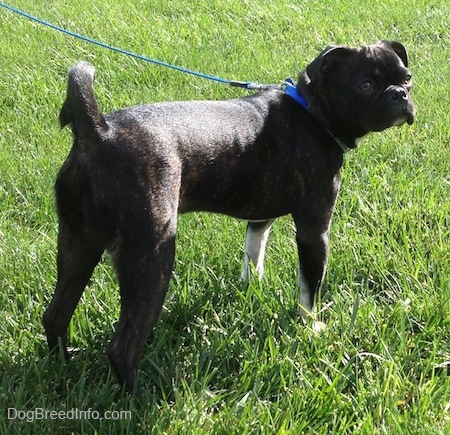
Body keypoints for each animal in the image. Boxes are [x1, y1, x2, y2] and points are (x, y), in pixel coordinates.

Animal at [42, 41, 414, 392]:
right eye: (365, 85)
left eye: (407, 77)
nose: (401, 94)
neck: (313, 111)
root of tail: (99, 132)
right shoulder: (314, 231)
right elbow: (310, 287)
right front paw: (312, 327)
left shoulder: (260, 217)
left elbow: (254, 251)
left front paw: (253, 287)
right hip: (150, 258)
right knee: (123, 346)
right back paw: (137, 397)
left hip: (78, 245)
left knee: (56, 315)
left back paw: (62, 365)